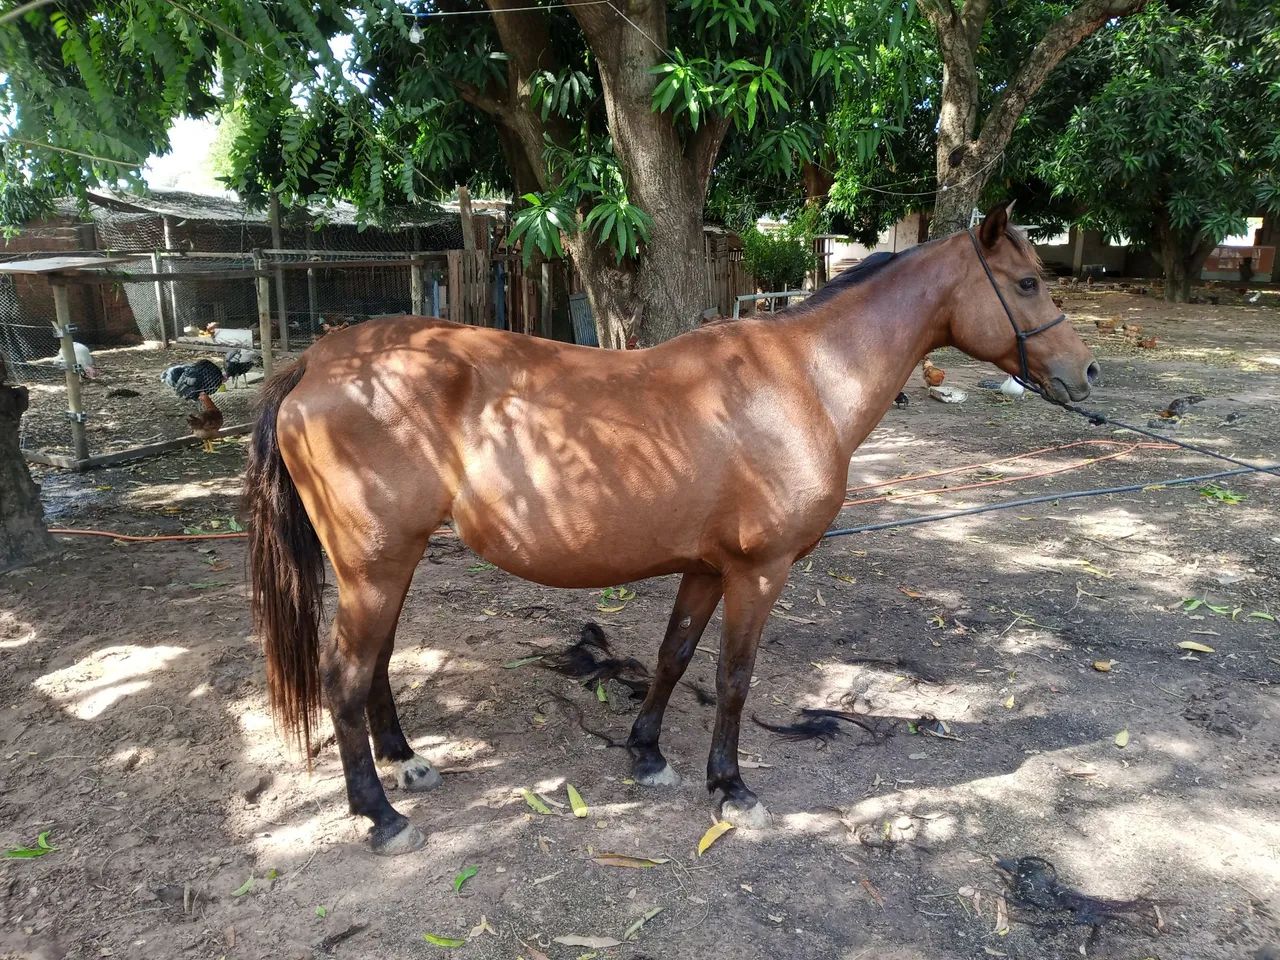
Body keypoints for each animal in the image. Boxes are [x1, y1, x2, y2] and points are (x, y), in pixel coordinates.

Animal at [243, 203, 1099, 855]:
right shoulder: (760, 570)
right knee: (343, 674)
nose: (1087, 372)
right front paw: (732, 787)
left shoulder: (707, 566)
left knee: (376, 663)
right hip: (373, 566)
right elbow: (734, 675)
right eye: (1027, 282)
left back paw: (406, 762)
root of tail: (320, 362)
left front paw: (647, 753)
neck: (803, 381)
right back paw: (381, 815)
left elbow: (673, 655)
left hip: (390, 564)